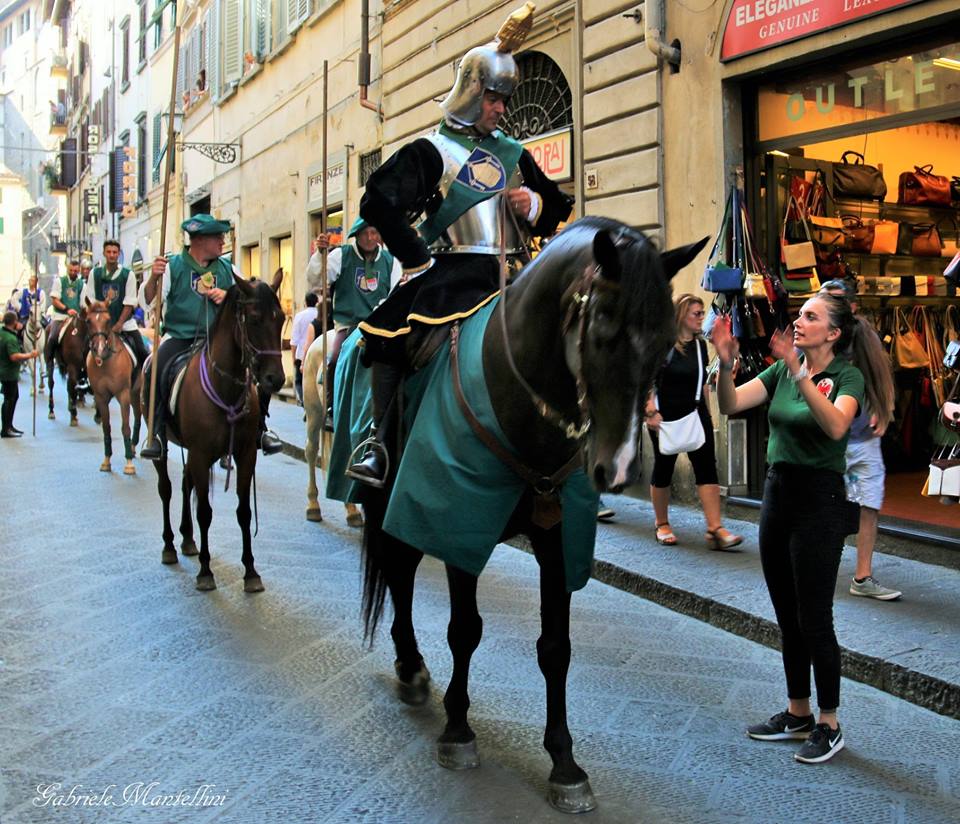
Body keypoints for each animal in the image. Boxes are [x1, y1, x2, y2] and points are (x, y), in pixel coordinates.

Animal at [85, 300, 144, 474]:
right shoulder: (101, 398)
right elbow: (106, 428)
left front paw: (129, 463)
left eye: (108, 320)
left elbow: (125, 427)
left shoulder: (123, 395)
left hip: (137, 393)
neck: (106, 361)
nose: (99, 349)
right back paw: (133, 446)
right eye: (88, 321)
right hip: (133, 394)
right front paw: (106, 461)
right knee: (137, 416)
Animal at [144, 276, 284, 592]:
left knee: (186, 485)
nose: (276, 379)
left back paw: (187, 539)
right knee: (166, 488)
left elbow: (244, 512)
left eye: (281, 319)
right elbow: (205, 513)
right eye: (254, 319)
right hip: (166, 446)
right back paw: (170, 545)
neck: (226, 387)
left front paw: (251, 572)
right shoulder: (200, 453)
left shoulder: (244, 455)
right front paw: (205, 572)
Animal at [356, 216, 708, 816]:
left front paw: (565, 764)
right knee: (400, 574)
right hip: (391, 498)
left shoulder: (559, 541)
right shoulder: (457, 522)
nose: (617, 468)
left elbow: (555, 649)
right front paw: (458, 731)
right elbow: (465, 630)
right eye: (603, 330)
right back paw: (410, 666)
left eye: (666, 345)